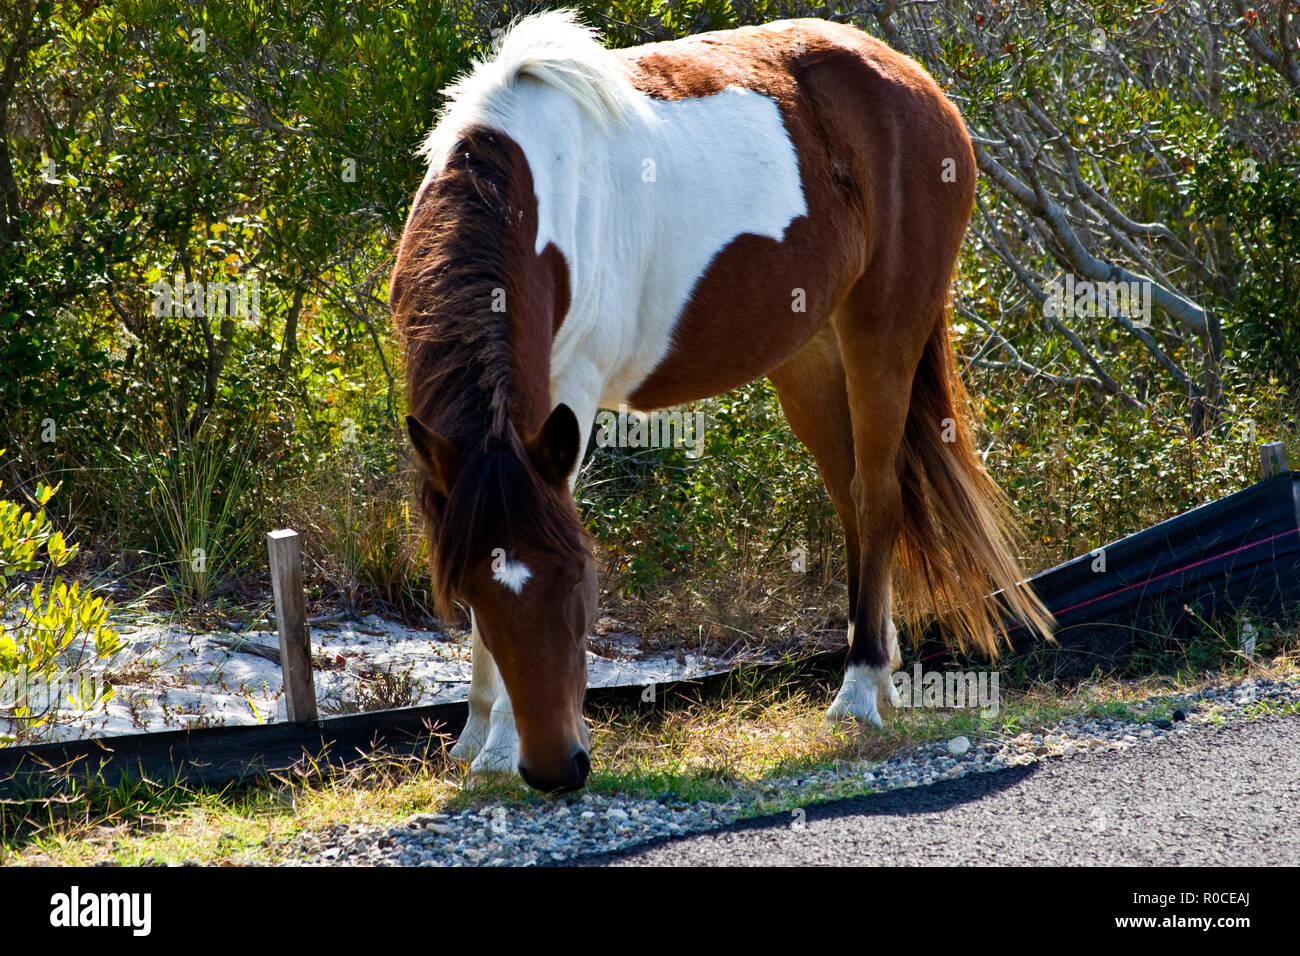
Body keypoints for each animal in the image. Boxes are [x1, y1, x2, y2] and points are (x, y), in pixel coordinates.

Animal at [390, 11, 1050, 796]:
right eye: (465, 593)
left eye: (576, 577)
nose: (555, 768)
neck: (530, 186)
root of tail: (919, 84)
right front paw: (478, 737)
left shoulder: (569, 392)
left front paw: (495, 747)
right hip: (808, 352)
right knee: (851, 499)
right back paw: (881, 676)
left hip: (883, 330)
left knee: (878, 498)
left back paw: (858, 693)